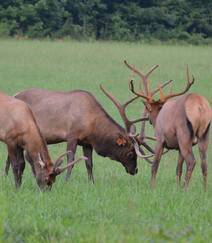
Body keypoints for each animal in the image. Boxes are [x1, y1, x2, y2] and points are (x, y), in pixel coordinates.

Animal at [7, 87, 156, 182]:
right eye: (130, 153)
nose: (135, 170)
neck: (93, 125)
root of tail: (14, 95)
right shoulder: (72, 136)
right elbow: (71, 160)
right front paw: (66, 181)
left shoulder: (87, 142)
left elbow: (89, 163)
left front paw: (92, 182)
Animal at [125, 60, 211, 190]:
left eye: (149, 109)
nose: (149, 119)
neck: (158, 117)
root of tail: (199, 106)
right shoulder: (179, 148)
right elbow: (178, 169)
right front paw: (177, 188)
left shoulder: (160, 139)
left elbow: (155, 165)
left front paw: (152, 187)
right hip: (204, 135)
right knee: (204, 164)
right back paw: (204, 191)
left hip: (184, 136)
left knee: (192, 161)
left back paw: (186, 189)